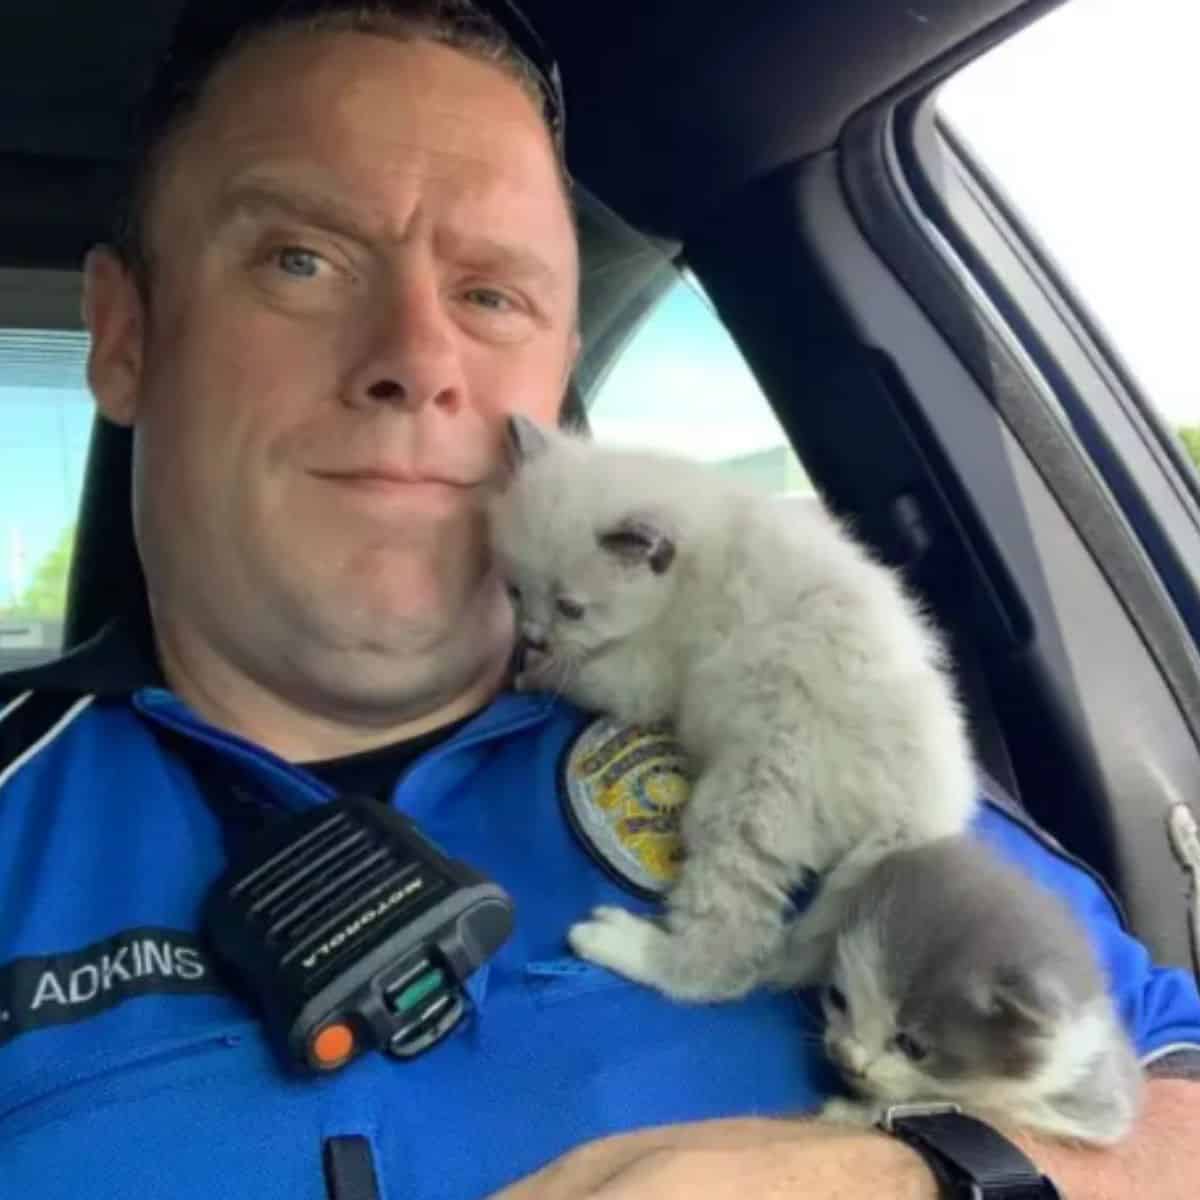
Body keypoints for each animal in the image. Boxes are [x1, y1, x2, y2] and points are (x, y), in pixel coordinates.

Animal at [484, 420, 974, 1003]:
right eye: (514, 590)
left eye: (571, 609)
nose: (533, 636)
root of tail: (924, 809)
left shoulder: (646, 676)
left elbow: (585, 673)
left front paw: (534, 672)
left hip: (749, 799)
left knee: (728, 956)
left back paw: (621, 943)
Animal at [816, 835, 1142, 1142]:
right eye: (837, 998)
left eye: (913, 1046)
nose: (846, 1057)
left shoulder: (1089, 1099)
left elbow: (983, 1107)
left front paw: (851, 1112)